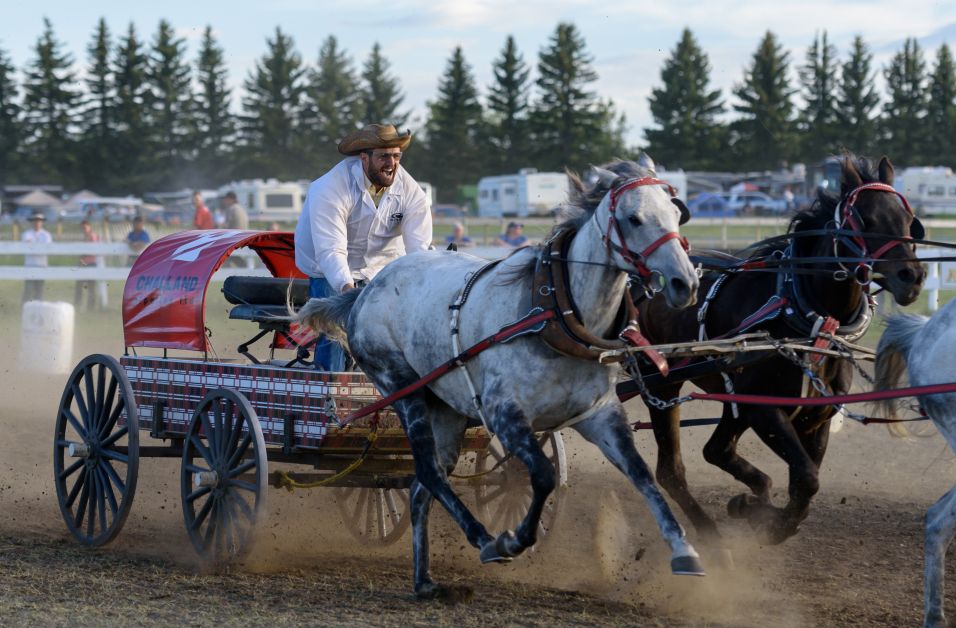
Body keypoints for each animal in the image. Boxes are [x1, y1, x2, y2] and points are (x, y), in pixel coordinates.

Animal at [298, 157, 704, 600]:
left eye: (677, 214)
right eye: (634, 218)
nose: (685, 283)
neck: (554, 313)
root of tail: (366, 291)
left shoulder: (599, 415)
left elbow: (641, 473)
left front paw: (685, 550)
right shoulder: (504, 415)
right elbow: (542, 474)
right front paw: (511, 540)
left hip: (447, 412)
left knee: (423, 486)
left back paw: (425, 581)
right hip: (403, 390)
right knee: (429, 473)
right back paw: (483, 539)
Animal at [636, 156, 928, 548]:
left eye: (909, 220)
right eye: (865, 220)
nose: (911, 277)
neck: (807, 321)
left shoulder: (814, 416)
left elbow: (803, 482)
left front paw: (755, 509)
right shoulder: (765, 410)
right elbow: (806, 478)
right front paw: (765, 519)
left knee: (717, 449)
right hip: (662, 385)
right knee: (671, 469)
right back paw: (711, 536)